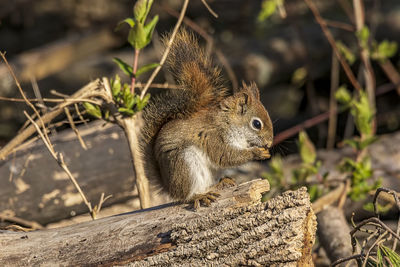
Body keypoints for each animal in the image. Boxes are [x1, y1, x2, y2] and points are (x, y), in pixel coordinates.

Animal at [139, 29, 274, 207]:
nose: (269, 143)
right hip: (185, 164)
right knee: (185, 196)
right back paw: (199, 196)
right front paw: (257, 153)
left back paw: (221, 183)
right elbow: (225, 156)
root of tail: (169, 187)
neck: (230, 123)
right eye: (257, 124)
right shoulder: (213, 136)